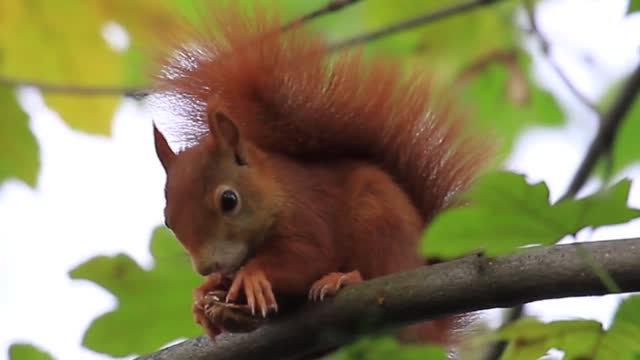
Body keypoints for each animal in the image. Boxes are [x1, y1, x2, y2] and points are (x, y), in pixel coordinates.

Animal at [152, 3, 492, 346]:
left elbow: (309, 257)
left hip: (381, 225)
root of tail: (433, 330)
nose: (206, 267)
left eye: (229, 200)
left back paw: (343, 278)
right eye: (168, 220)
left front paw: (252, 274)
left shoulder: (309, 212)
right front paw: (204, 293)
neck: (276, 190)